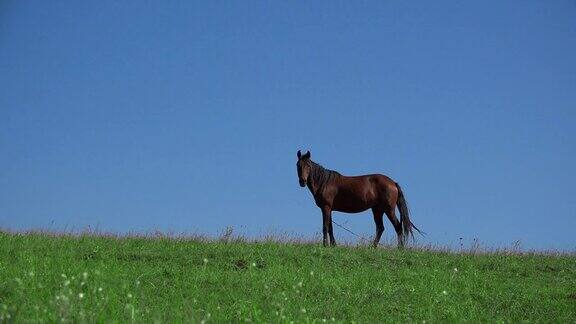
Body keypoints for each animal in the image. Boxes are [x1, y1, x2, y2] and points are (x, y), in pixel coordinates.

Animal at [296, 151, 424, 247]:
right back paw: (372, 247)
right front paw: (333, 245)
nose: (302, 181)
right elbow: (330, 228)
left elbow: (325, 227)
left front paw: (325, 245)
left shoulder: (326, 208)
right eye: (298, 165)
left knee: (397, 227)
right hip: (377, 210)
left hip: (389, 210)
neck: (324, 182)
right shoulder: (329, 209)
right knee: (380, 228)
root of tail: (393, 183)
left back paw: (400, 249)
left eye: (308, 165)